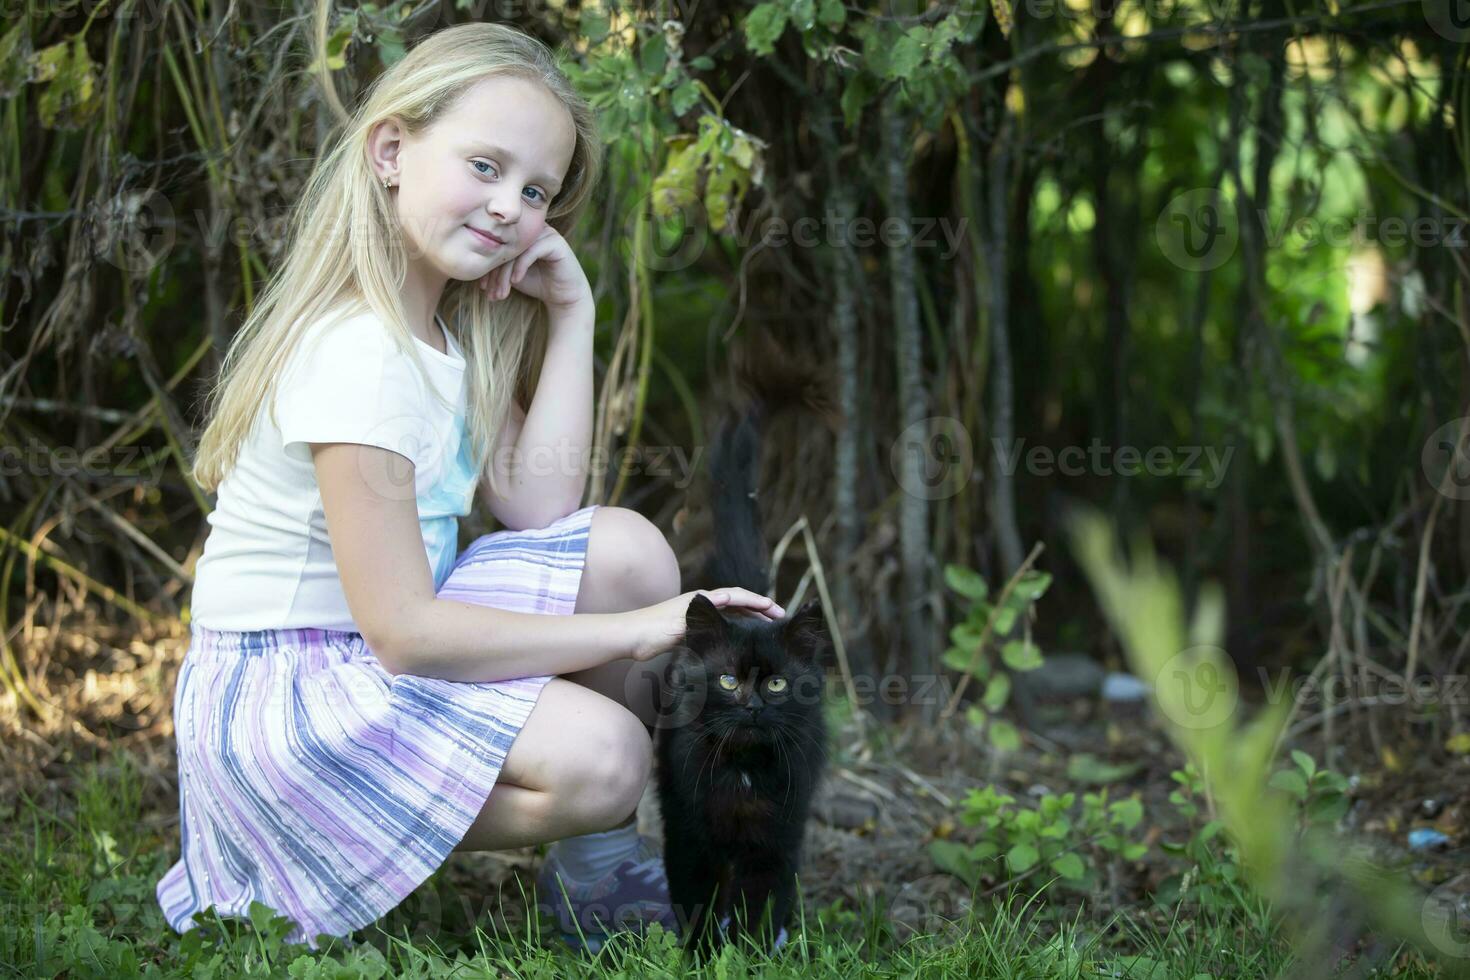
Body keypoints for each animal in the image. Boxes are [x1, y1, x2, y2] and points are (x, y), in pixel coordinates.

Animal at [652, 340, 834, 952]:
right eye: (729, 679)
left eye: (776, 682)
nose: (752, 705)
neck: (744, 773)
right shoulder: (689, 836)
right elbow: (698, 904)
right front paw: (703, 956)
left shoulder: (777, 841)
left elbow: (762, 906)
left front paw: (752, 957)